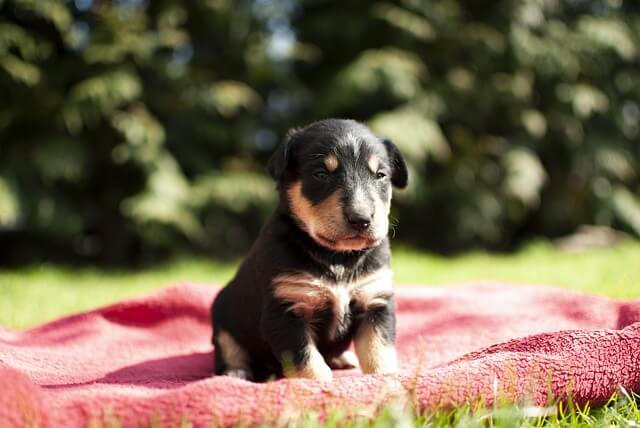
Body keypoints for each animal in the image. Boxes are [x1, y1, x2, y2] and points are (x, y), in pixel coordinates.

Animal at [212, 118, 408, 382]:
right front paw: (318, 382)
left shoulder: (375, 300)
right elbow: (304, 356)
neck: (338, 257)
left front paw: (385, 376)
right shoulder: (286, 309)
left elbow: (378, 347)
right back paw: (235, 372)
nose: (361, 219)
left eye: (380, 175)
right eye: (320, 174)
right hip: (223, 318)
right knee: (230, 349)